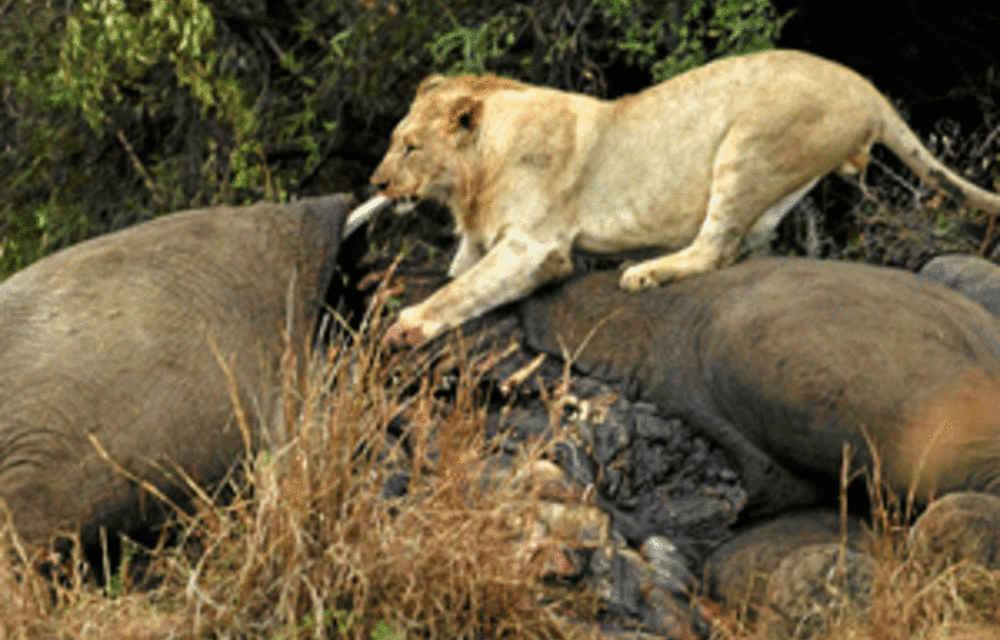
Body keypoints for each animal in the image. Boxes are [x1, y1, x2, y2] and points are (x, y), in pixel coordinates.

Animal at [372, 48, 1000, 350]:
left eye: (409, 146)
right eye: (394, 142)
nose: (377, 184)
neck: (474, 174)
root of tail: (866, 88)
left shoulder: (537, 247)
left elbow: (466, 290)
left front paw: (410, 323)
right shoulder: (482, 239)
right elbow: (459, 272)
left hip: (750, 144)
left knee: (716, 248)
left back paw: (646, 272)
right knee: (745, 245)